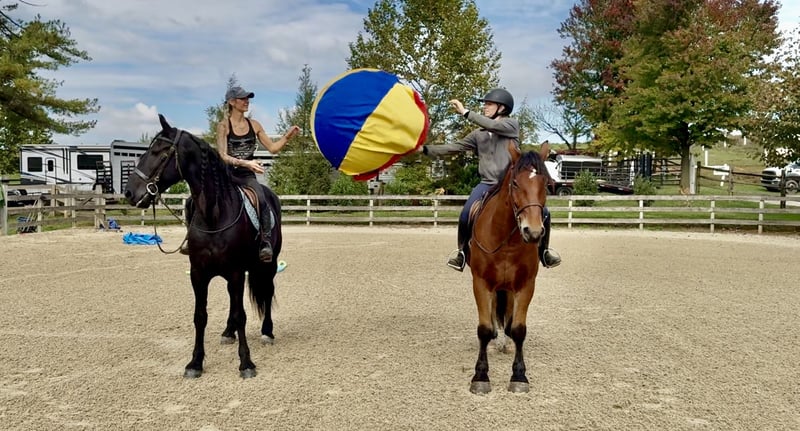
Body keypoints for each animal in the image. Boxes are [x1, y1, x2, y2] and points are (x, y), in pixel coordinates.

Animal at [124, 114, 281, 379]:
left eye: (159, 152)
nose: (128, 192)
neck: (214, 214)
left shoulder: (236, 272)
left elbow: (242, 315)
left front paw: (246, 363)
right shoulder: (198, 273)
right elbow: (200, 316)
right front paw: (195, 363)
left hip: (266, 265)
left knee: (267, 292)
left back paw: (267, 332)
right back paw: (228, 332)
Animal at [464, 140, 551, 394]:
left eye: (546, 184)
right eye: (515, 183)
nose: (533, 232)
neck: (507, 240)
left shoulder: (525, 285)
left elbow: (519, 328)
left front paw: (519, 376)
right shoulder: (481, 283)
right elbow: (483, 328)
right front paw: (481, 376)